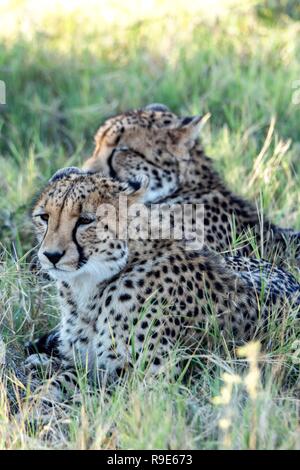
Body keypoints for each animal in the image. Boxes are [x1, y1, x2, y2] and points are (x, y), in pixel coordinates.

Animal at [24, 165, 298, 400]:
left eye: (85, 220)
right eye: (44, 217)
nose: (51, 255)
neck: (90, 284)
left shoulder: (155, 382)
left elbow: (98, 396)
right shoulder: (86, 364)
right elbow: (65, 378)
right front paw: (38, 401)